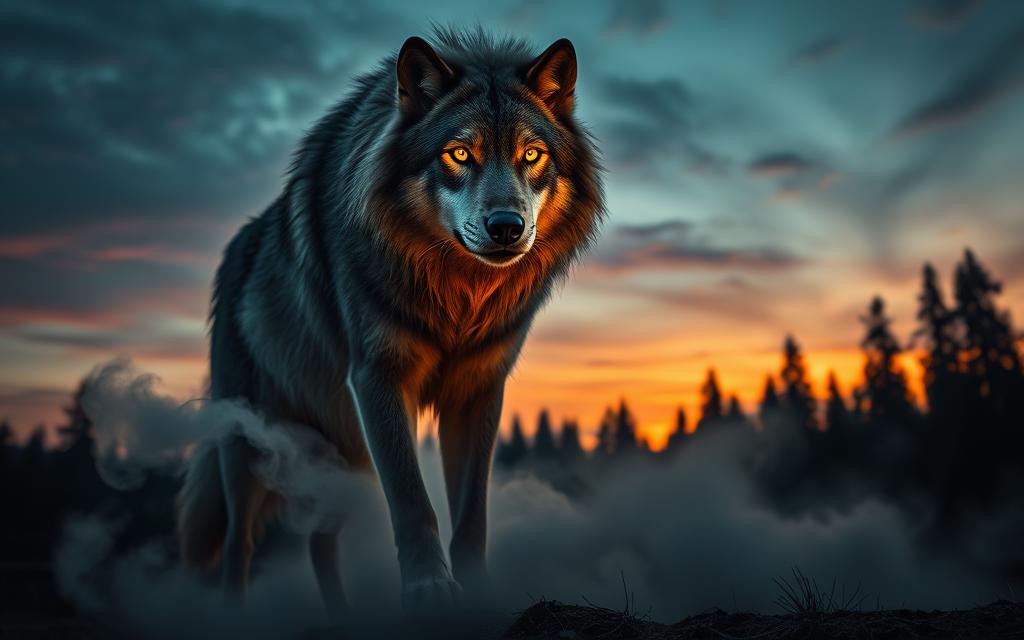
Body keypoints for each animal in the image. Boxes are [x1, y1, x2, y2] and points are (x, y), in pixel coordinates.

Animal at [176, 28, 604, 617]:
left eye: (532, 154)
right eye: (460, 153)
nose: (506, 226)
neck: (458, 296)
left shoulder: (478, 390)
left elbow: (471, 516)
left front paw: (480, 593)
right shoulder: (378, 378)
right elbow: (412, 502)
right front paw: (428, 589)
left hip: (344, 454)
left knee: (320, 539)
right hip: (251, 447)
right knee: (239, 541)